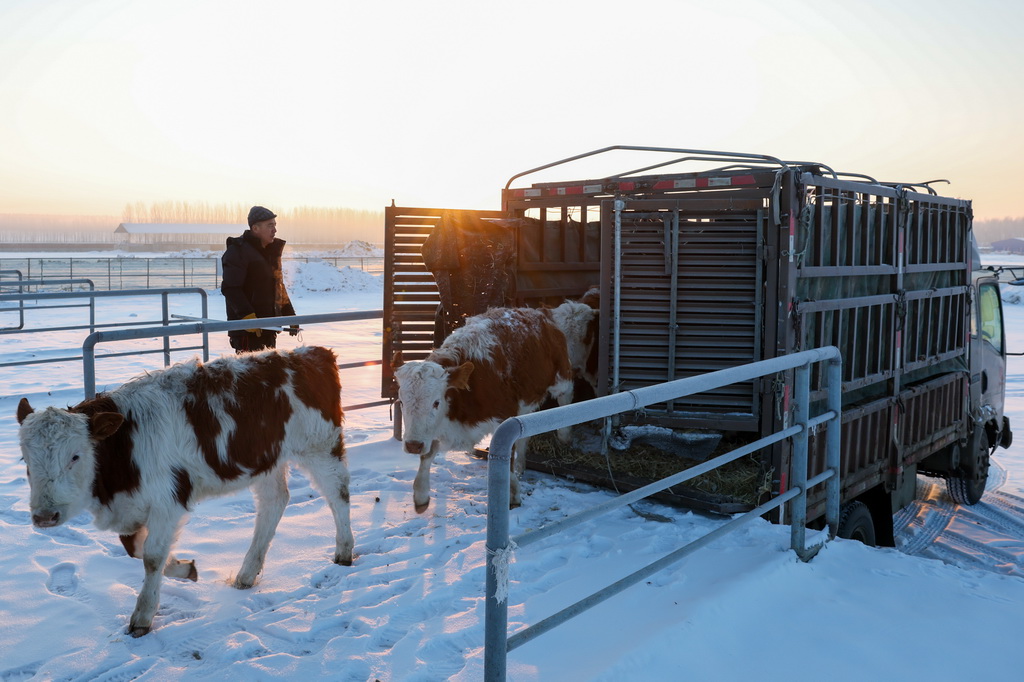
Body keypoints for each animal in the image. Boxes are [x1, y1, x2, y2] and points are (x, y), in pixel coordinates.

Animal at [12, 346, 352, 638]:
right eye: (26, 460)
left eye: (75, 456)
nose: (45, 516)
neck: (126, 448)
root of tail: (312, 353)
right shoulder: (133, 505)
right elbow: (135, 549)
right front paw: (186, 569)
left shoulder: (168, 500)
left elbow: (151, 556)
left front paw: (143, 616)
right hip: (268, 460)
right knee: (274, 502)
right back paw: (246, 573)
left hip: (320, 445)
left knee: (338, 493)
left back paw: (344, 550)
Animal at [393, 305, 577, 507]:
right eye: (401, 401)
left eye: (436, 402)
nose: (413, 445)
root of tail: (539, 312)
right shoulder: (440, 427)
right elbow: (427, 455)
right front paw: (421, 494)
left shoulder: (505, 417)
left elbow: (507, 457)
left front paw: (512, 494)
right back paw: (521, 465)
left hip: (562, 377)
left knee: (566, 397)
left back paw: (565, 435)